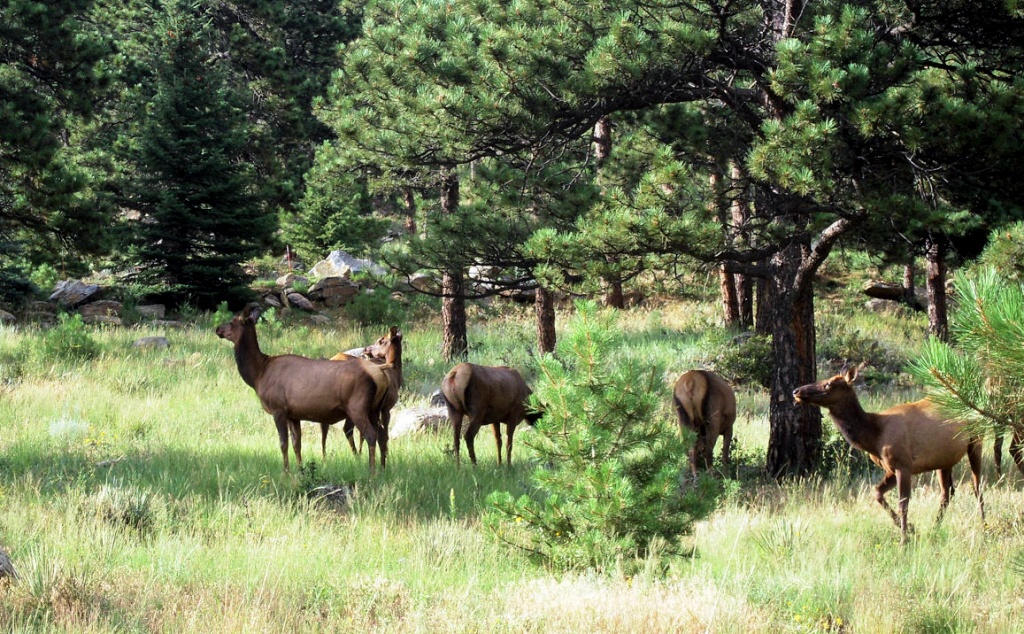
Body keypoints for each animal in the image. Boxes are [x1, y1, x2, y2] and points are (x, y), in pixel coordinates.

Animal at [215, 305, 387, 473]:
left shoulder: (278, 409)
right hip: (374, 409)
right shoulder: (293, 414)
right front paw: (300, 469)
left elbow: (283, 443)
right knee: (382, 435)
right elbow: (297, 444)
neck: (258, 375)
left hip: (357, 407)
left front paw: (286, 472)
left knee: (371, 435)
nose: (217, 329)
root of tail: (380, 375)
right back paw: (382, 468)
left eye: (232, 321)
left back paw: (371, 472)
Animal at [790, 364, 983, 536]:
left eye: (828, 384)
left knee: (976, 487)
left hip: (976, 442)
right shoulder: (890, 468)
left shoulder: (903, 465)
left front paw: (904, 539)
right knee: (947, 493)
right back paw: (934, 530)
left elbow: (903, 504)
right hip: (944, 459)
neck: (874, 437)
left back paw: (984, 527)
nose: (796, 391)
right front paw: (911, 528)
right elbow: (877, 493)